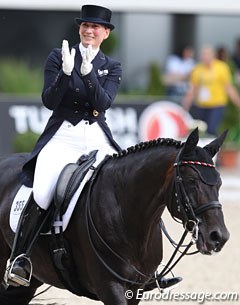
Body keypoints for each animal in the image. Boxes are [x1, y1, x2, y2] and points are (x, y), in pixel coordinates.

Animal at [0, 129, 230, 304]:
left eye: (219, 183)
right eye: (191, 180)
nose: (218, 237)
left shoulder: (135, 289)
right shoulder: (109, 286)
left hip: (29, 282)